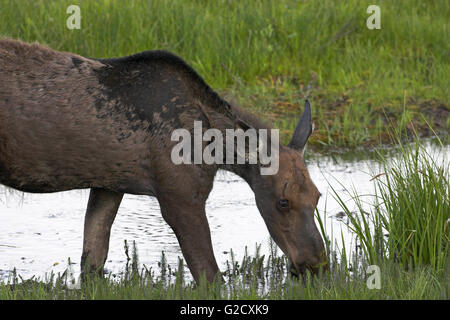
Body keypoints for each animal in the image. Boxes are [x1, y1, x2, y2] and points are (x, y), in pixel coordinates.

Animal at [0, 39, 326, 282]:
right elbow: (211, 277)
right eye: (282, 202)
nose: (316, 262)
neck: (216, 149)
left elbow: (92, 262)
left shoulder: (109, 185)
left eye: (317, 196)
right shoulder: (180, 197)